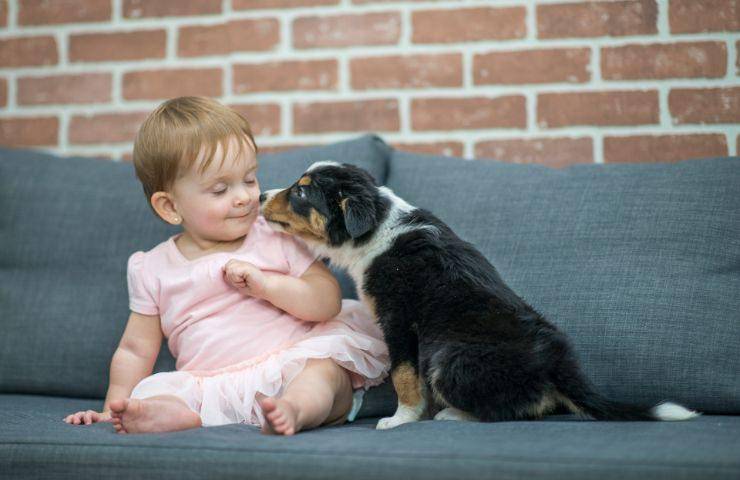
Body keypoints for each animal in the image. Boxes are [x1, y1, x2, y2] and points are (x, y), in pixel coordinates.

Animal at [258, 162, 696, 432]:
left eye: (301, 194)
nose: (262, 195)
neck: (377, 228)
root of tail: (556, 361)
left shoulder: (399, 319)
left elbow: (403, 375)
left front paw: (401, 419)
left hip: (449, 357)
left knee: (510, 410)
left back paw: (453, 415)